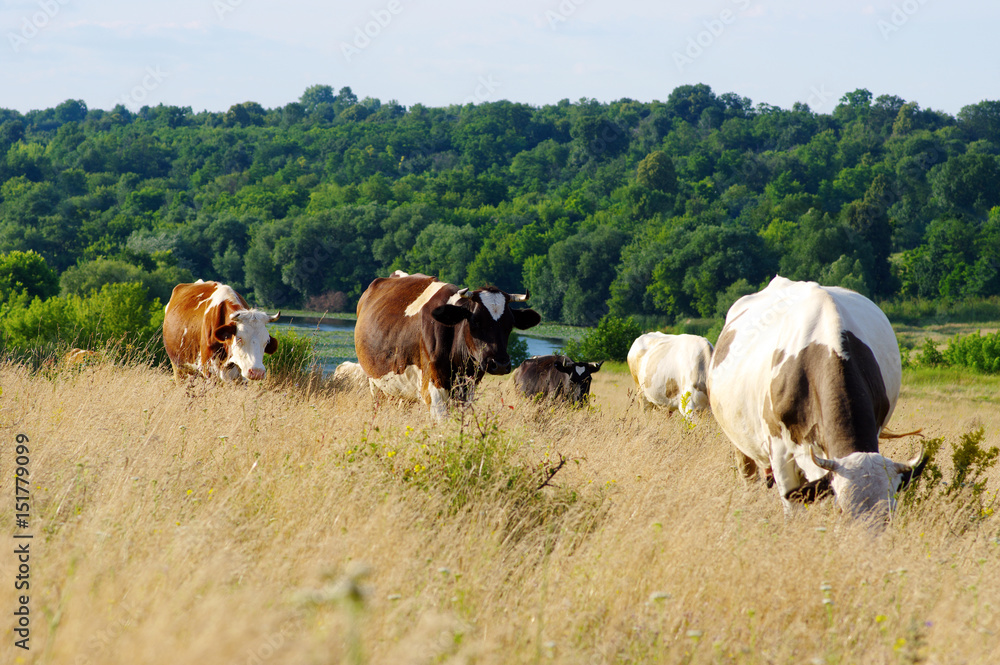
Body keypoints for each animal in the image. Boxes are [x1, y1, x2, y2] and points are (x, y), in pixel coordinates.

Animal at [352, 268, 540, 416]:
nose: (500, 364)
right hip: (376, 383)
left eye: (510, 324)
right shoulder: (433, 391)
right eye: (475, 321)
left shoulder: (466, 391)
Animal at [708, 276, 924, 524]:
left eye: (889, 513)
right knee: (748, 478)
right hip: (741, 446)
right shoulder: (780, 451)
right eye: (841, 510)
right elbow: (792, 506)